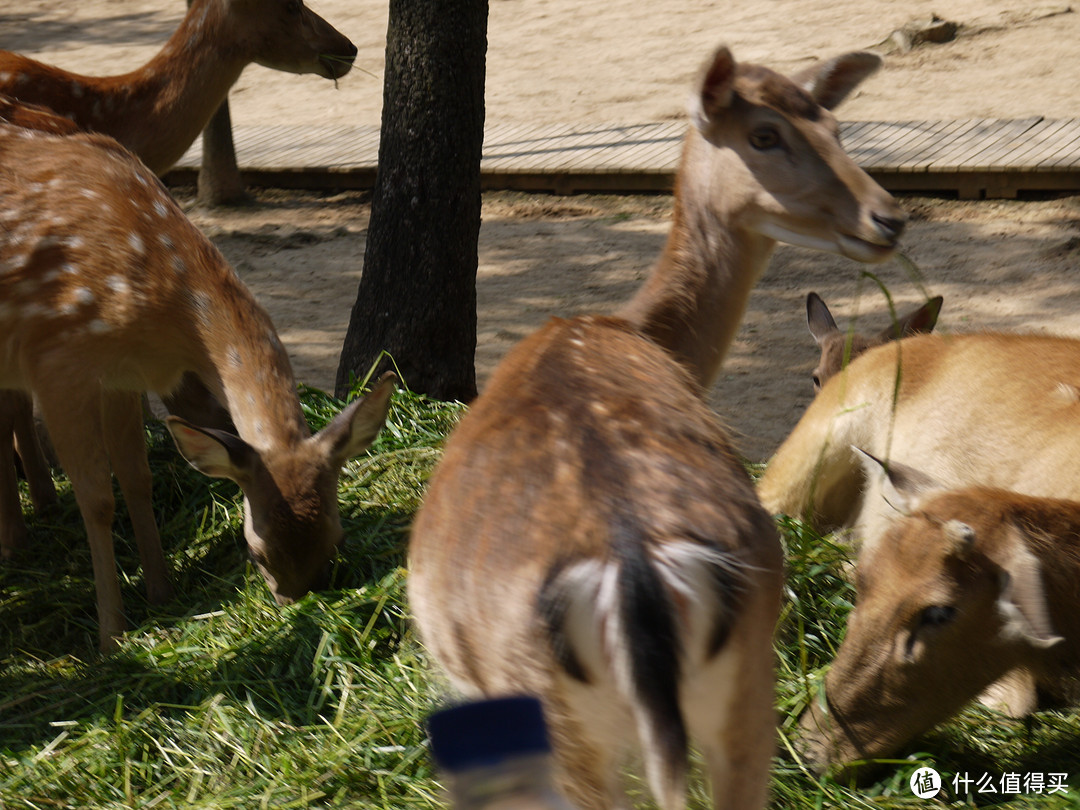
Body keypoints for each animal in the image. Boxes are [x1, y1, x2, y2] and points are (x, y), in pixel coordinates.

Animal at [0, 120, 397, 652]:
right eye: (255, 550)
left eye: (337, 538)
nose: (298, 602)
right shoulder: (58, 360)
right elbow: (97, 499)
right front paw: (111, 634)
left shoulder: (120, 377)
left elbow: (137, 478)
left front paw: (162, 592)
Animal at [408, 45, 907, 810]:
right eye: (767, 134)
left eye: (836, 127)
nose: (888, 218)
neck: (632, 328)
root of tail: (635, 573)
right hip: (747, 688)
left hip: (562, 725)